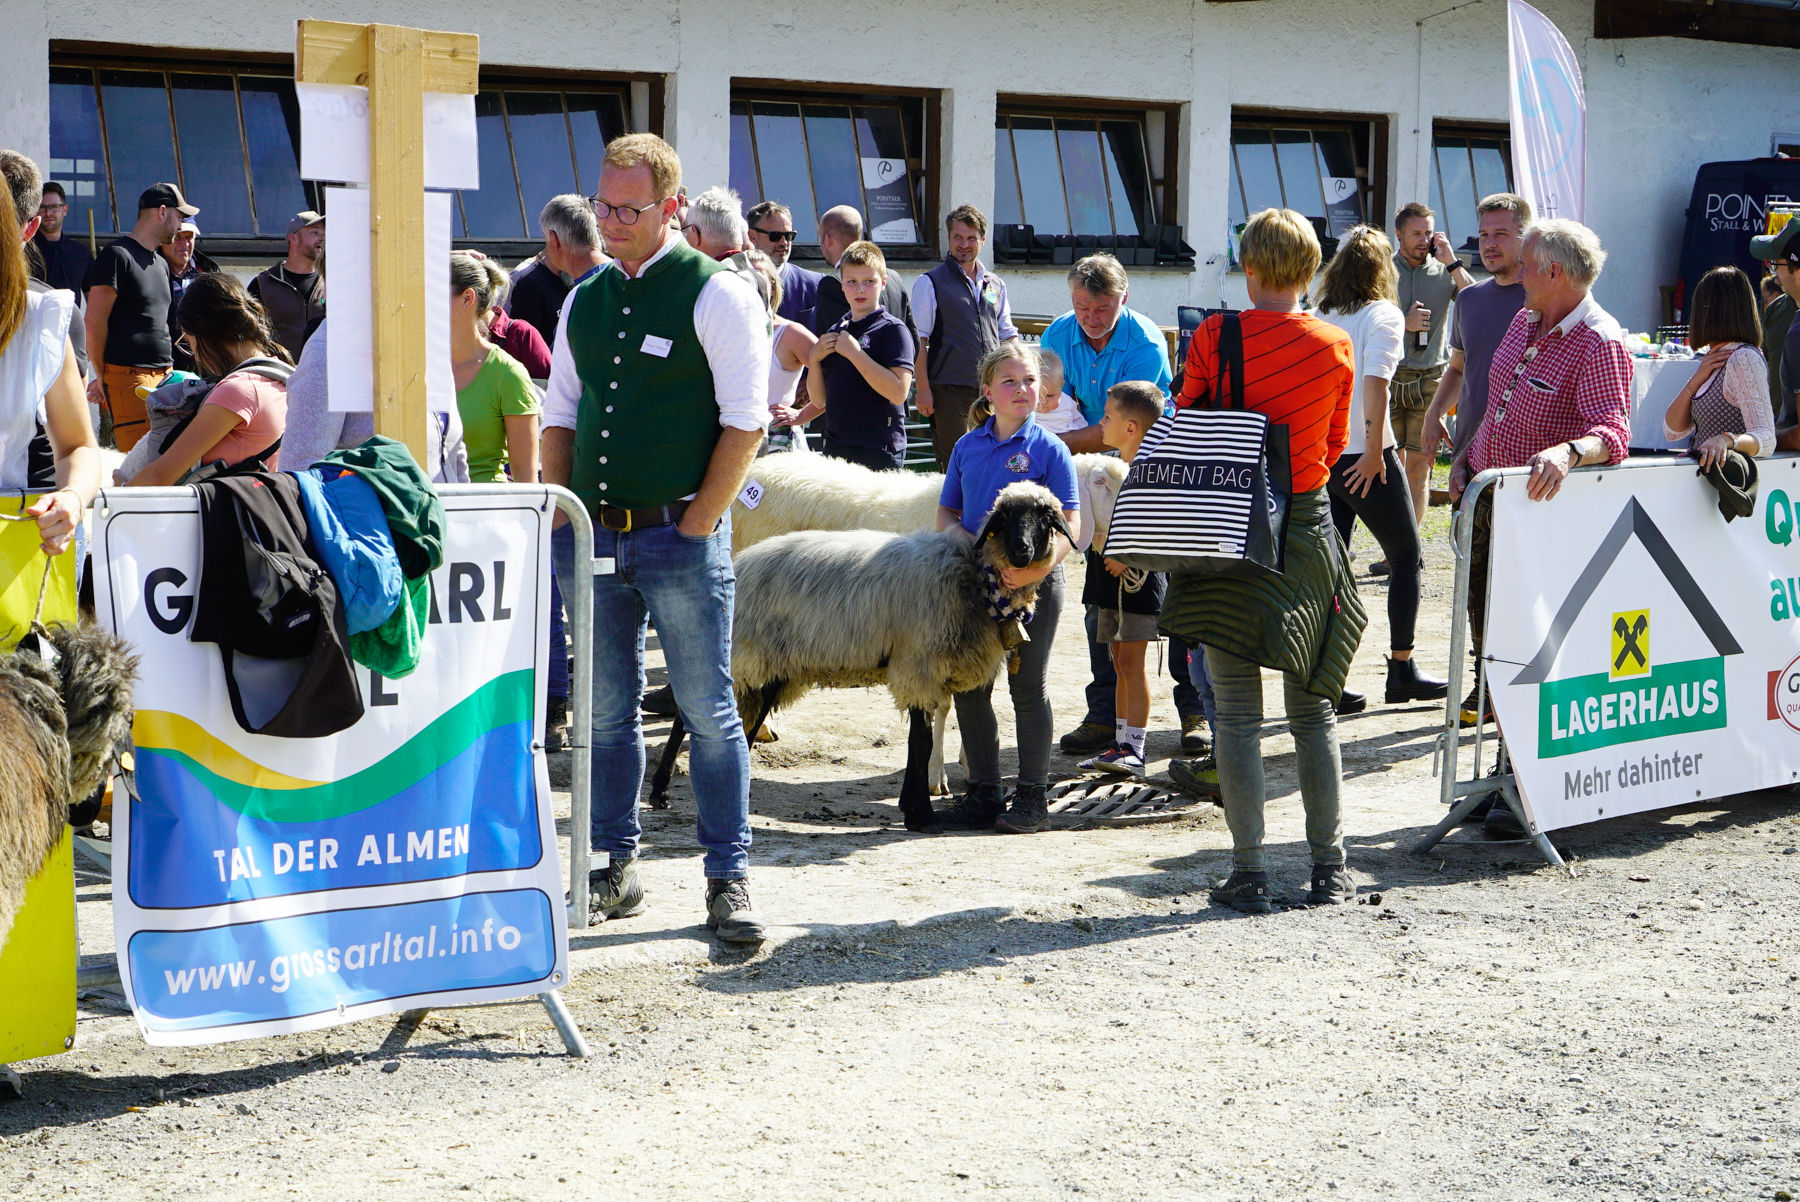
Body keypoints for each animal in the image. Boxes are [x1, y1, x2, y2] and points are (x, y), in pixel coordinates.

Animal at [648, 482, 1065, 831]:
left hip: (771, 666)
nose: (1022, 550)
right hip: (743, 655)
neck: (972, 577)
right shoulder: (917, 666)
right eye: (1004, 518)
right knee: (687, 718)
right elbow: (921, 741)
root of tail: (741, 563)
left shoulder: (924, 671)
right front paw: (921, 815)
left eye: (1046, 518)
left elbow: (919, 740)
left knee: (744, 723)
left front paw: (912, 806)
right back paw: (659, 791)